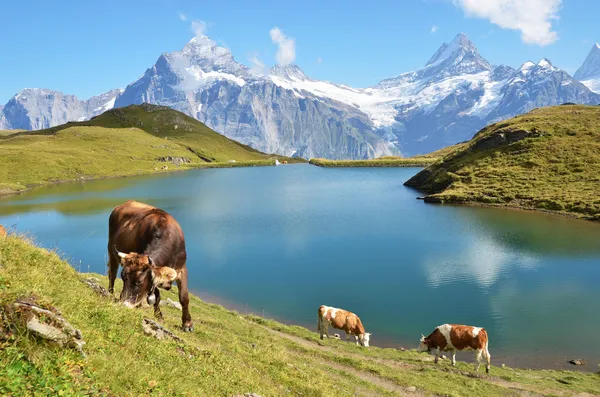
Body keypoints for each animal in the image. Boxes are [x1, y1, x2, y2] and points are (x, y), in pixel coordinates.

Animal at [106, 200, 192, 330]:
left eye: (140, 281)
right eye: (123, 278)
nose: (124, 304)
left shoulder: (181, 268)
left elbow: (184, 297)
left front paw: (187, 324)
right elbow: (156, 295)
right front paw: (159, 316)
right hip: (111, 251)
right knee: (112, 275)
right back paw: (110, 294)